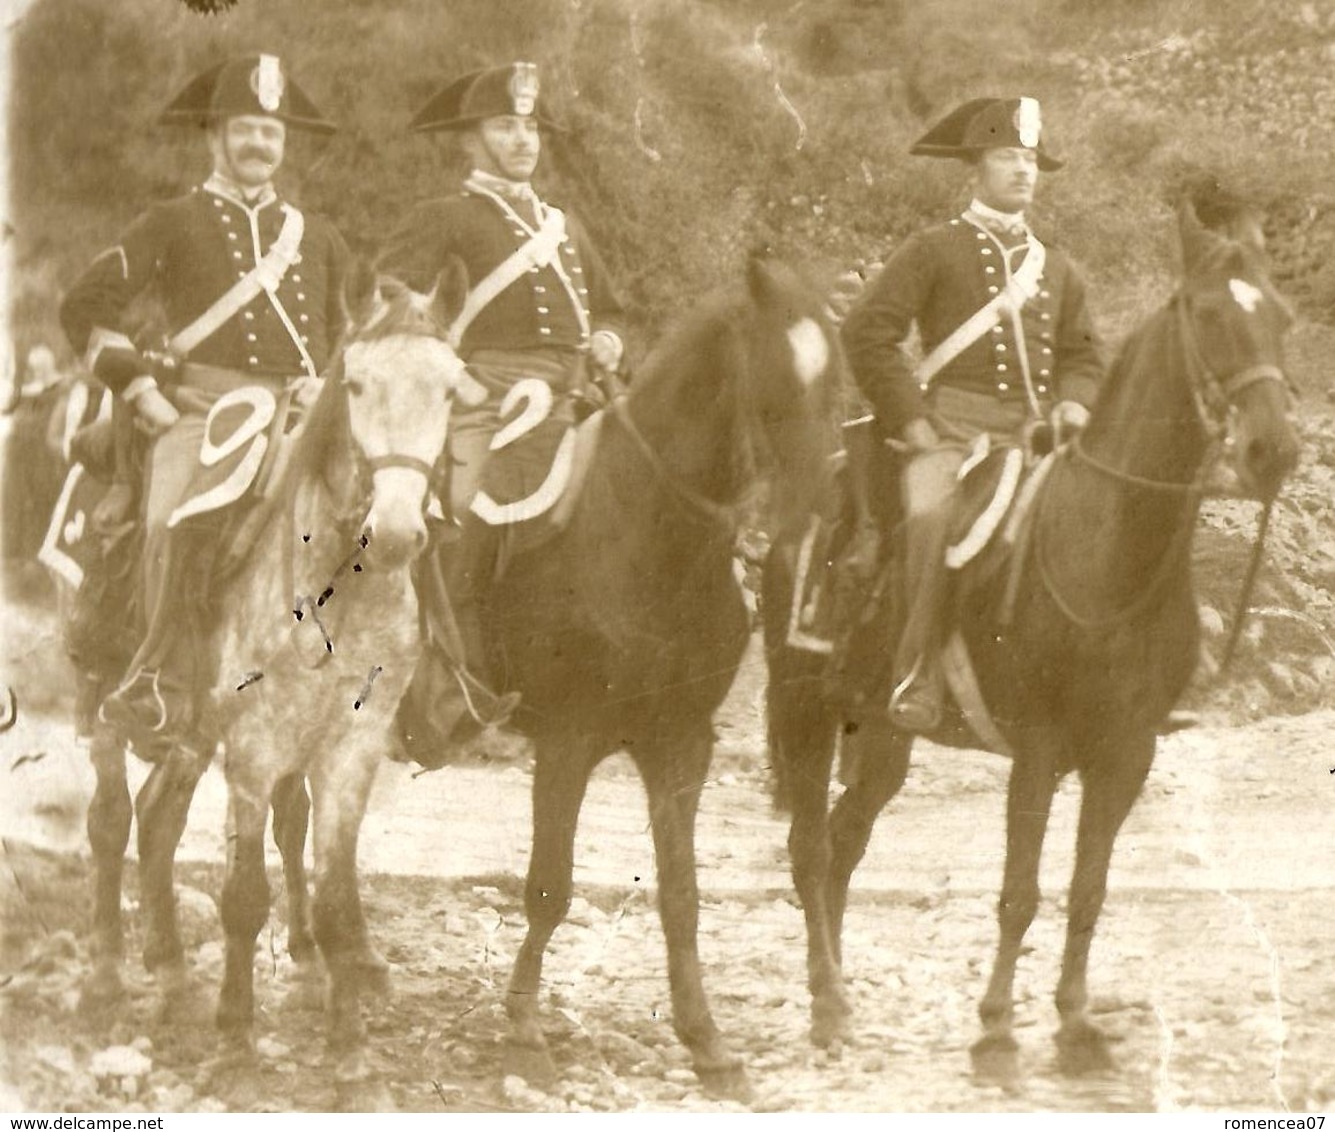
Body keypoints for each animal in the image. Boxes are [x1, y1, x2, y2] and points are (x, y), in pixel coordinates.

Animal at [477, 258, 833, 1094]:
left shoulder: (679, 743)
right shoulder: (567, 740)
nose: (822, 514)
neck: (643, 531)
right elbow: (549, 887)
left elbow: (681, 893)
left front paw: (706, 1040)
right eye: (775, 382)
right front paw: (524, 1032)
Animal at [768, 201, 1297, 1067]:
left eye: (1281, 318)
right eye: (1208, 314)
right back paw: (825, 1008)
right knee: (809, 849)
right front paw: (994, 1025)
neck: (1109, 545)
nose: (1273, 450)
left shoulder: (1125, 754)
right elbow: (1020, 891)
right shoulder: (1040, 748)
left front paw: (1076, 1022)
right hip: (804, 708)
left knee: (845, 840)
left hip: (880, 733)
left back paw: (835, 988)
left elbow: (1088, 888)